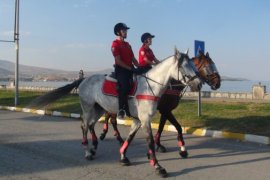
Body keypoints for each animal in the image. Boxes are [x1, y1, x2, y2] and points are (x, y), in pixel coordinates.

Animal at [29, 48, 202, 177]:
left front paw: (123, 156)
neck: (149, 87)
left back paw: (94, 147)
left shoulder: (138, 120)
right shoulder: (145, 119)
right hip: (88, 108)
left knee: (91, 125)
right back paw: (87, 151)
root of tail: (84, 80)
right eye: (184, 66)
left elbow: (130, 138)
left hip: (99, 109)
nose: (199, 84)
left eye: (194, 65)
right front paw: (158, 166)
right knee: (84, 126)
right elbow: (150, 142)